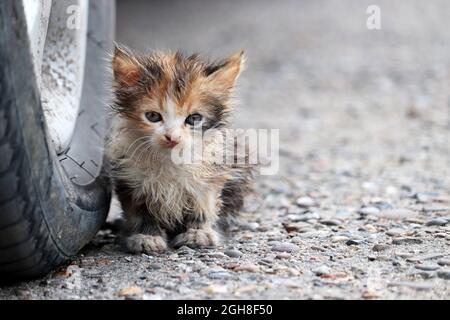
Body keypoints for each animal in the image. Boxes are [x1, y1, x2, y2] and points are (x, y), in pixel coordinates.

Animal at [105, 46, 253, 254]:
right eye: (153, 116)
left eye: (194, 119)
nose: (172, 137)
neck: (170, 160)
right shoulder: (132, 180)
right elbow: (140, 213)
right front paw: (147, 237)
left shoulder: (210, 175)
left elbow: (203, 207)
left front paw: (198, 233)